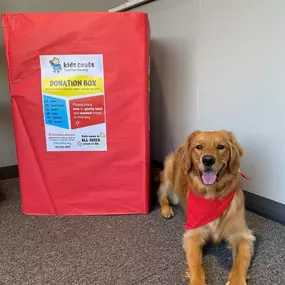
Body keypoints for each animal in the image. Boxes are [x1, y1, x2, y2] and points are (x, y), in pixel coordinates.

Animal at [159, 130, 254, 282]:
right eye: (198, 147)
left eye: (221, 146)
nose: (208, 160)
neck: (212, 195)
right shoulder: (192, 234)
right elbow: (196, 267)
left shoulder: (243, 236)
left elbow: (240, 264)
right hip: (168, 171)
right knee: (161, 195)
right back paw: (166, 209)